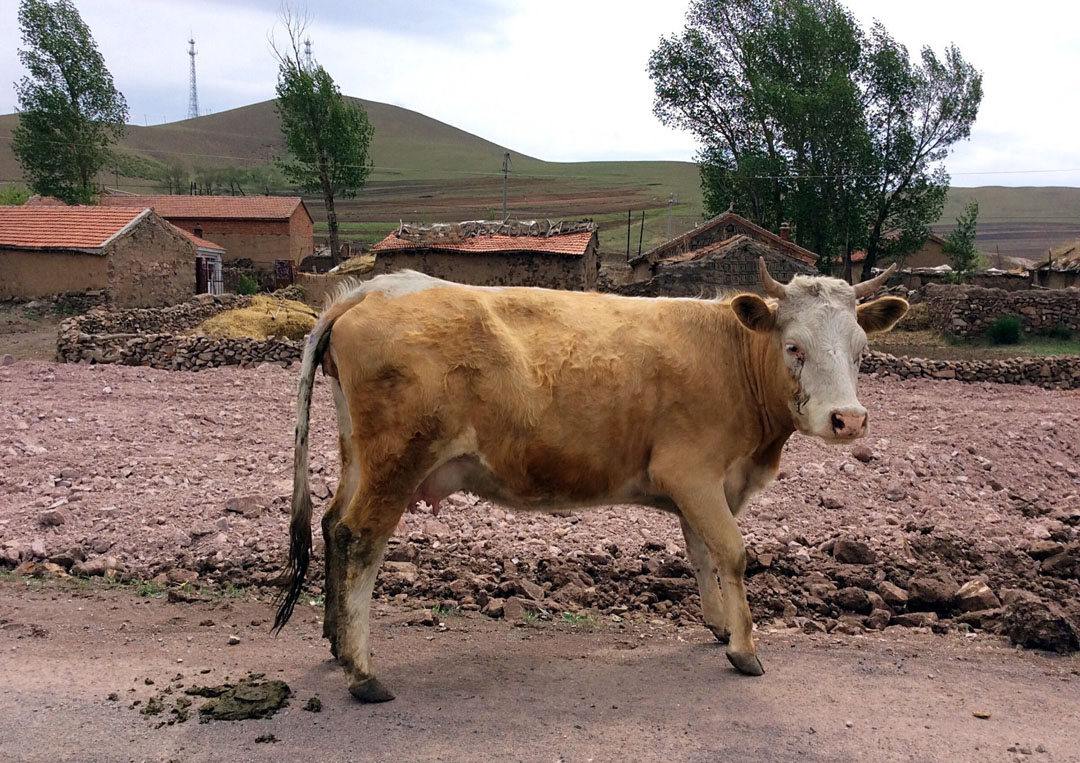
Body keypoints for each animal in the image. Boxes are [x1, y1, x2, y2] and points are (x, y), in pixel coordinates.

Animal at [274, 258, 907, 700]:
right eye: (794, 347)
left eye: (861, 349)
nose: (848, 420)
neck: (730, 356)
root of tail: (374, 289)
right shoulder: (693, 473)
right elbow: (731, 552)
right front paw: (744, 647)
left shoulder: (705, 486)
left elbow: (702, 552)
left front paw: (718, 626)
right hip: (397, 463)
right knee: (359, 540)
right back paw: (362, 672)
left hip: (359, 457)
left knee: (330, 526)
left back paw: (335, 642)